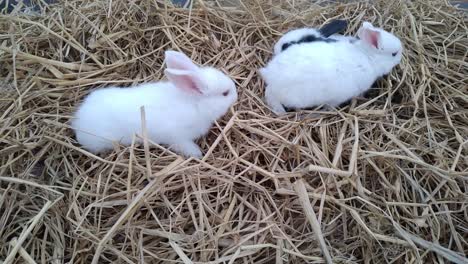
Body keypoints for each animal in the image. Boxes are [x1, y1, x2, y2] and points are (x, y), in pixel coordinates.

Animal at [72, 50, 238, 158]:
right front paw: (197, 154)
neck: (194, 103)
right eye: (225, 93)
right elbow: (185, 146)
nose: (236, 95)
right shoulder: (179, 137)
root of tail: (78, 120)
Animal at [262, 21, 404, 114]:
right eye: (394, 54)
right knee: (270, 96)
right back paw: (281, 112)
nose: (401, 56)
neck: (367, 57)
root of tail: (270, 74)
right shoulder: (338, 98)